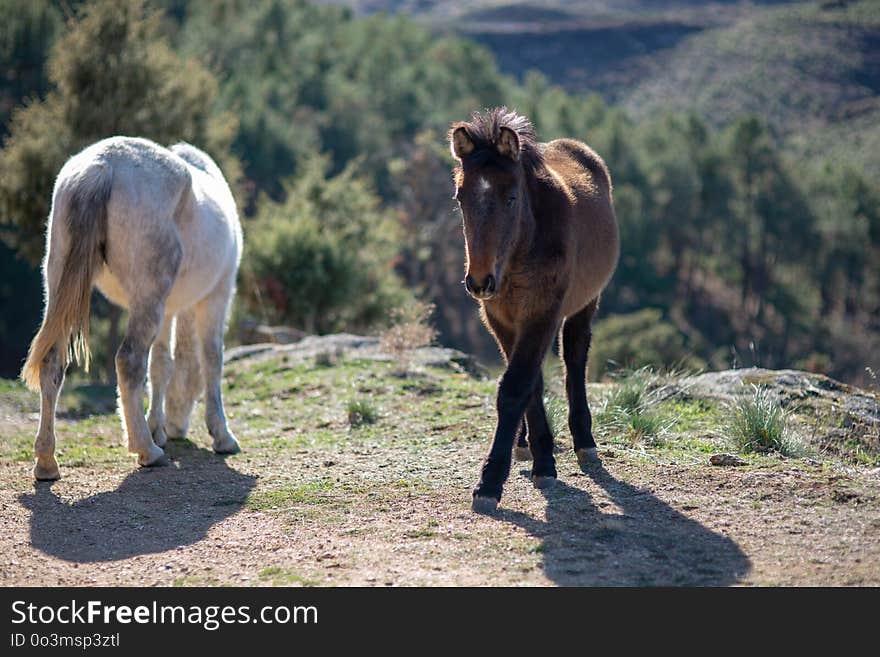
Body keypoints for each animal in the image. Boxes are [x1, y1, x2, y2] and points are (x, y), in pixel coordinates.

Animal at [22, 136, 242, 480]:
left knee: (52, 364)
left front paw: (158, 427)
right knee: (129, 361)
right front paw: (221, 435)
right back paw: (147, 451)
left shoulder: (168, 310)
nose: (179, 428)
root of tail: (101, 167)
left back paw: (46, 462)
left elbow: (162, 364)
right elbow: (211, 360)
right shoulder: (215, 297)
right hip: (150, 299)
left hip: (61, 285)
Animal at [446, 107, 620, 510]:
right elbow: (526, 384)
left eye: (511, 197)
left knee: (575, 358)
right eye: (460, 197)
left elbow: (515, 387)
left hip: (584, 305)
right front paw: (540, 456)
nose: (479, 281)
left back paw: (584, 442)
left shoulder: (542, 314)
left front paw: (491, 482)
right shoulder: (501, 319)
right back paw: (525, 442)